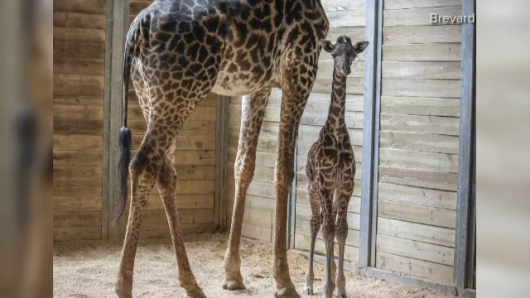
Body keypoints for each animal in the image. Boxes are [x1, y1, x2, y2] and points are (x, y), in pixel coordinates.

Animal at [115, 0, 328, 298]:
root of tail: (137, 29)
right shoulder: (300, 68)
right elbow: (284, 170)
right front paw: (283, 281)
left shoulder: (258, 85)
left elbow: (244, 165)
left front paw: (232, 274)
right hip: (180, 94)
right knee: (143, 164)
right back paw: (124, 285)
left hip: (151, 96)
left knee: (165, 172)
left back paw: (191, 283)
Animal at [302, 37, 368, 298]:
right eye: (334, 54)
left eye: (352, 54)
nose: (345, 68)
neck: (338, 134)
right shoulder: (325, 184)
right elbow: (328, 230)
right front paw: (327, 288)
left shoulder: (346, 185)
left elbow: (341, 230)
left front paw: (339, 287)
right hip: (312, 190)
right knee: (315, 224)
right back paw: (309, 283)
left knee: (325, 225)